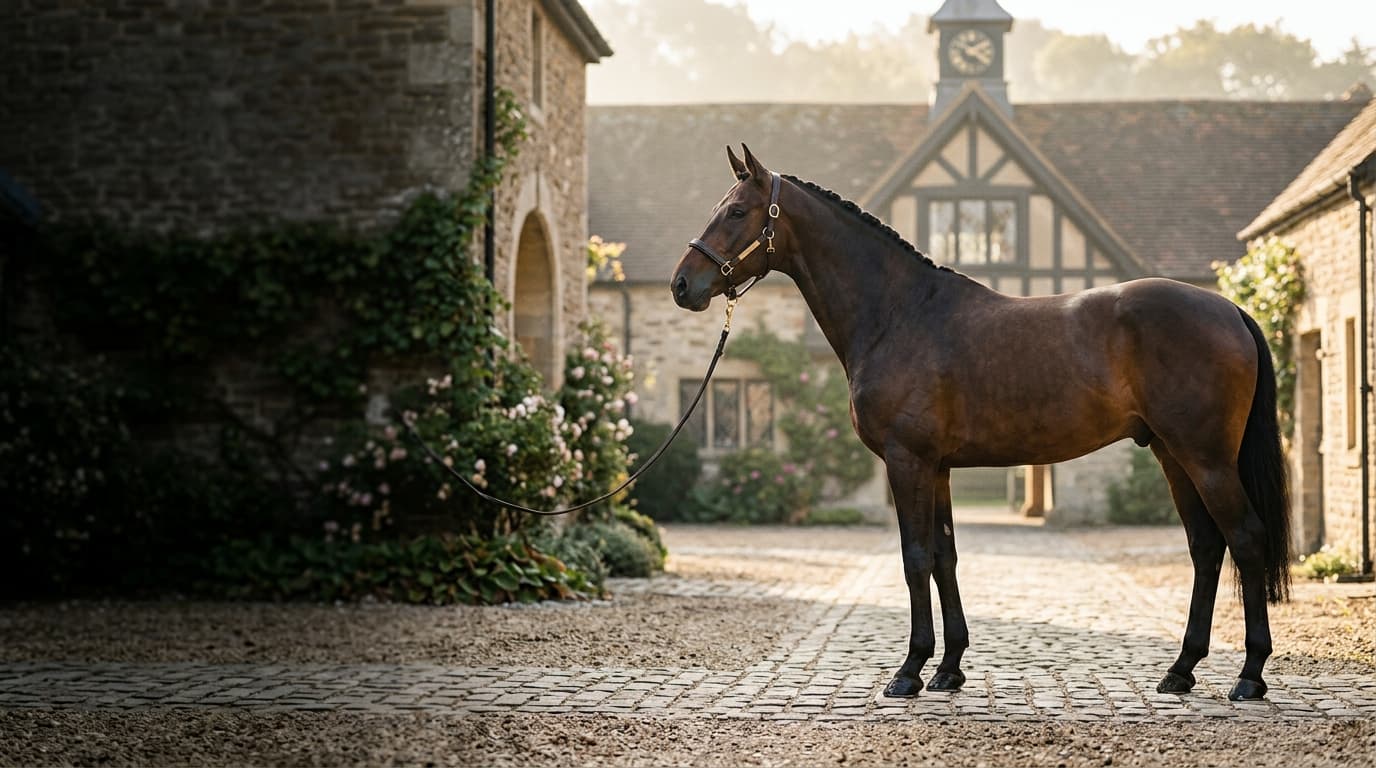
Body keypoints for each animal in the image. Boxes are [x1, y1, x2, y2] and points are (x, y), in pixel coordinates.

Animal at [670, 145, 1290, 702]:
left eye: (737, 211)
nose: (682, 285)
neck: (898, 313)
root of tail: (1230, 309)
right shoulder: (938, 468)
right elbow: (945, 557)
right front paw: (949, 669)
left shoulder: (907, 461)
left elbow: (915, 557)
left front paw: (908, 671)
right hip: (1171, 454)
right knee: (1206, 547)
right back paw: (1180, 671)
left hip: (1206, 458)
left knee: (1245, 538)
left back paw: (1249, 676)